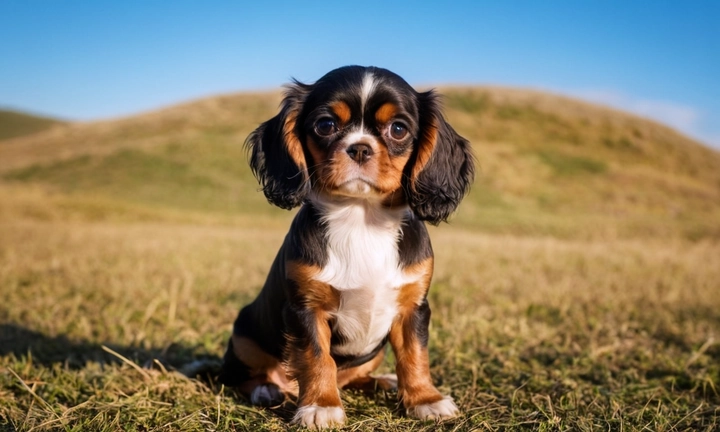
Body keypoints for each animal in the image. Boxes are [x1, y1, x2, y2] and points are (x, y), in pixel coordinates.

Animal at [222, 65, 476, 428]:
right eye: (326, 125)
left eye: (398, 129)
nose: (359, 148)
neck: (361, 218)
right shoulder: (306, 308)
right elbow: (317, 358)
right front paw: (321, 406)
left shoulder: (414, 308)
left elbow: (415, 355)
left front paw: (426, 400)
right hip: (244, 336)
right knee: (240, 375)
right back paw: (267, 389)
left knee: (355, 377)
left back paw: (383, 382)